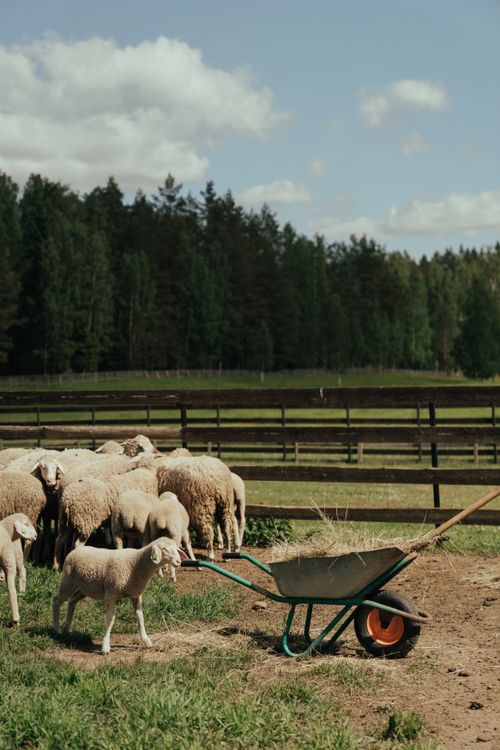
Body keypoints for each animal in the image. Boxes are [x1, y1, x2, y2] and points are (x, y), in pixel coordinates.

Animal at [52, 537, 186, 654]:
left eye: (176, 548)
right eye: (164, 549)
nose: (178, 561)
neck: (136, 563)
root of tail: (75, 550)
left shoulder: (136, 595)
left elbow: (140, 617)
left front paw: (146, 641)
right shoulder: (111, 594)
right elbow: (110, 620)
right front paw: (105, 646)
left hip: (86, 588)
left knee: (72, 601)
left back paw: (68, 629)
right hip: (68, 581)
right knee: (57, 600)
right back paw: (57, 629)